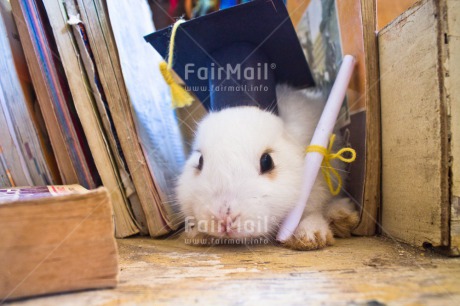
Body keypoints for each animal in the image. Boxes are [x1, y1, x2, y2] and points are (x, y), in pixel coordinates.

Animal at [176, 83, 360, 249]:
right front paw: (196, 234)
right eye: (200, 161)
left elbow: (312, 212)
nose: (224, 219)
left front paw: (310, 236)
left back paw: (341, 216)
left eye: (267, 161)